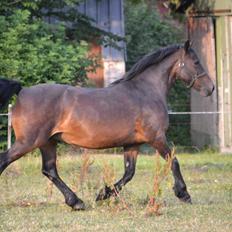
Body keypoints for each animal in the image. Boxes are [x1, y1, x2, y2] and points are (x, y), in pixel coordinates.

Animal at [0, 40, 214, 210]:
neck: (146, 91)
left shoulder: (132, 144)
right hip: (29, 142)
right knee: (6, 160)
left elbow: (129, 173)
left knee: (49, 170)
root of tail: (23, 91)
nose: (210, 88)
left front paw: (103, 194)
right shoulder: (157, 138)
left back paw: (76, 202)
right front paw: (183, 193)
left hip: (48, 142)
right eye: (196, 62)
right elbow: (173, 161)